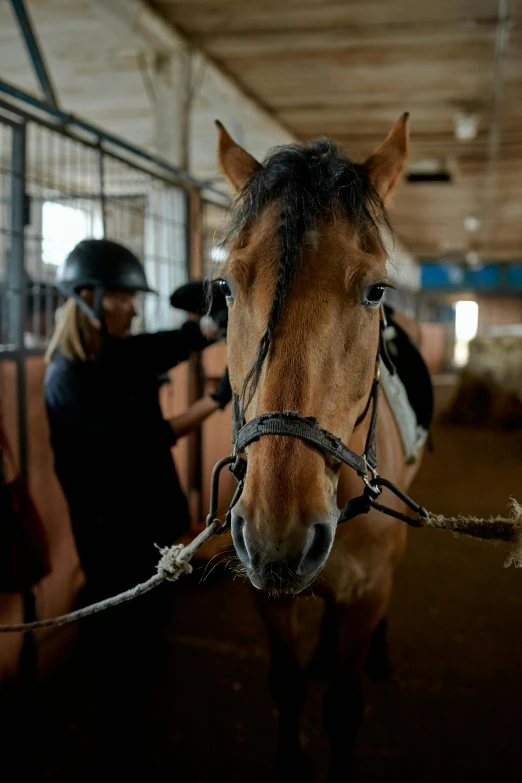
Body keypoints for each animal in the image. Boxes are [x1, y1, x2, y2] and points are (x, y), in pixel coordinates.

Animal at [211, 113, 426, 780]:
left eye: (377, 291)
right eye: (225, 287)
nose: (277, 535)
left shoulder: (370, 590)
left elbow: (344, 708)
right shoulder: (267, 598)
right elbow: (287, 686)